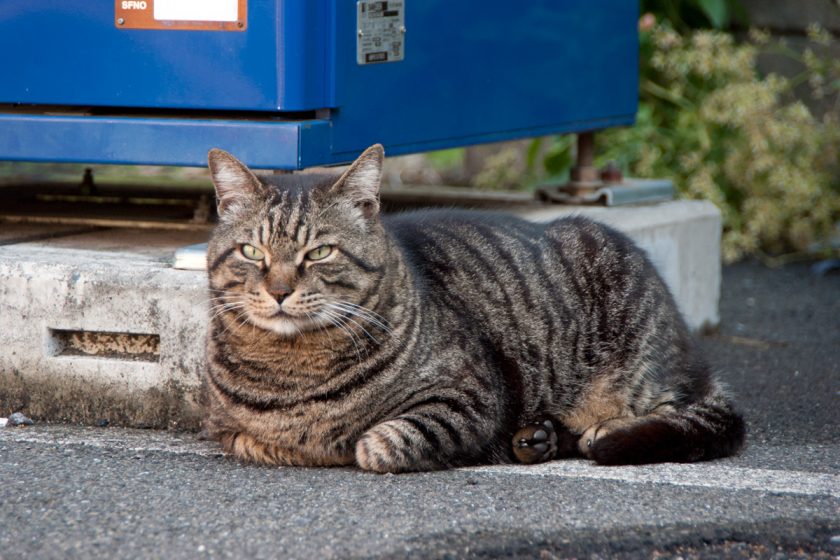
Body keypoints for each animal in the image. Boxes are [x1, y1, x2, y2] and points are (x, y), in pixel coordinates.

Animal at [203, 143, 748, 472]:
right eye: (252, 252)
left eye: (319, 253)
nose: (278, 291)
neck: (292, 370)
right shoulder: (229, 430)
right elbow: (248, 439)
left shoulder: (470, 397)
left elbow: (379, 443)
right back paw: (539, 438)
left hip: (638, 372)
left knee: (677, 410)